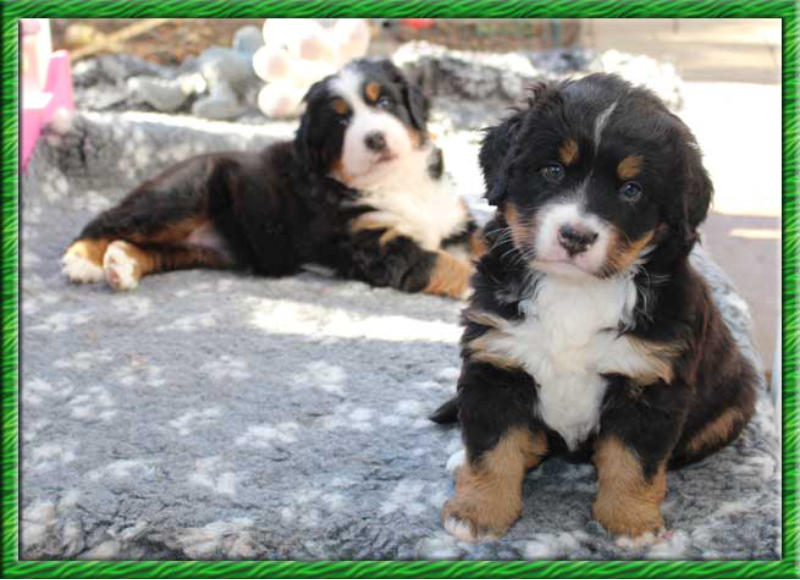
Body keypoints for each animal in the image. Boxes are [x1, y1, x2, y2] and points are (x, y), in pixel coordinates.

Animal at [61, 59, 483, 298]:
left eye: (384, 102)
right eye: (340, 121)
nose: (375, 138)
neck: (398, 182)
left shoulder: (455, 218)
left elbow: (486, 242)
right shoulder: (377, 246)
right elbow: (449, 265)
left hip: (206, 247)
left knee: (151, 250)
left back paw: (121, 265)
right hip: (179, 198)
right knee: (108, 221)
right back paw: (83, 261)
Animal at [431, 73, 757, 542]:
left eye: (631, 190)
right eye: (552, 170)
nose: (576, 236)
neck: (576, 292)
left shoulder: (650, 383)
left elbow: (633, 462)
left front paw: (631, 523)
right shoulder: (497, 363)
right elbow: (491, 450)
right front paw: (477, 511)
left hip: (736, 401)